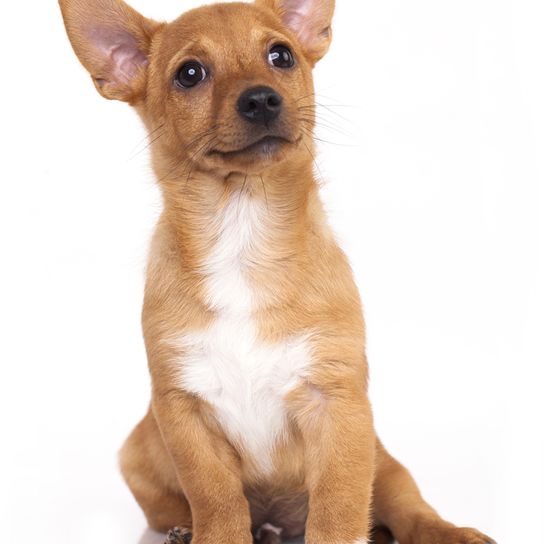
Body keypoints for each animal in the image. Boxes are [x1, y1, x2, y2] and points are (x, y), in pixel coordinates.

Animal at [58, 1, 498, 544]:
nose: (261, 99)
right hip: (138, 452)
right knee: (174, 509)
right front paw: (215, 534)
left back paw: (451, 532)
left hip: (389, 469)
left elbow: (337, 510)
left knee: (411, 511)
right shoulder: (183, 411)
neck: (243, 230)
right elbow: (217, 500)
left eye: (281, 56)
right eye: (189, 74)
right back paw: (188, 532)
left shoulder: (335, 403)